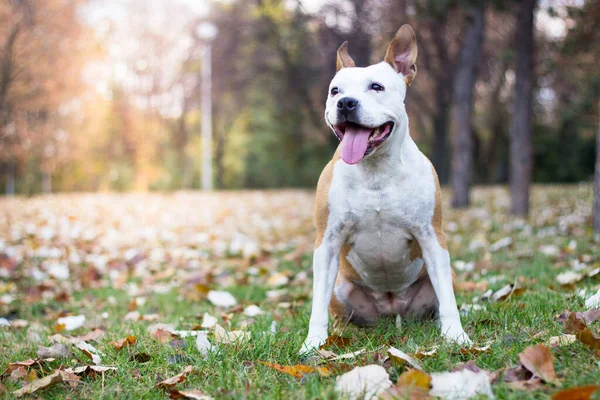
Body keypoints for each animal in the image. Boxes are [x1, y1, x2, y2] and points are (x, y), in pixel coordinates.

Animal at [302, 24, 472, 354]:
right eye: (335, 91)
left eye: (376, 87)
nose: (346, 103)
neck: (375, 170)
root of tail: (392, 309)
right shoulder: (327, 241)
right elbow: (316, 305)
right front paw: (312, 343)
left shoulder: (432, 236)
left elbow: (448, 300)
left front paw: (456, 336)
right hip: (341, 288)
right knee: (338, 311)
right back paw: (341, 332)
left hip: (444, 275)